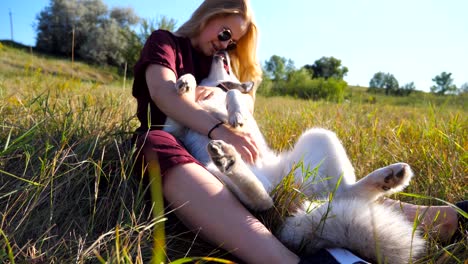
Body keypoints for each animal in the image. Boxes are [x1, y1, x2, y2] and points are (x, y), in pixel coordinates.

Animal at [163, 50, 426, 262]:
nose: (222, 48)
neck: (215, 88)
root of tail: (291, 193)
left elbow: (232, 96)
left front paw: (234, 112)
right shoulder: (173, 128)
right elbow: (193, 89)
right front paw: (185, 82)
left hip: (321, 135)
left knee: (344, 192)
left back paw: (389, 177)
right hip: (210, 169)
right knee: (263, 201)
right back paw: (229, 159)